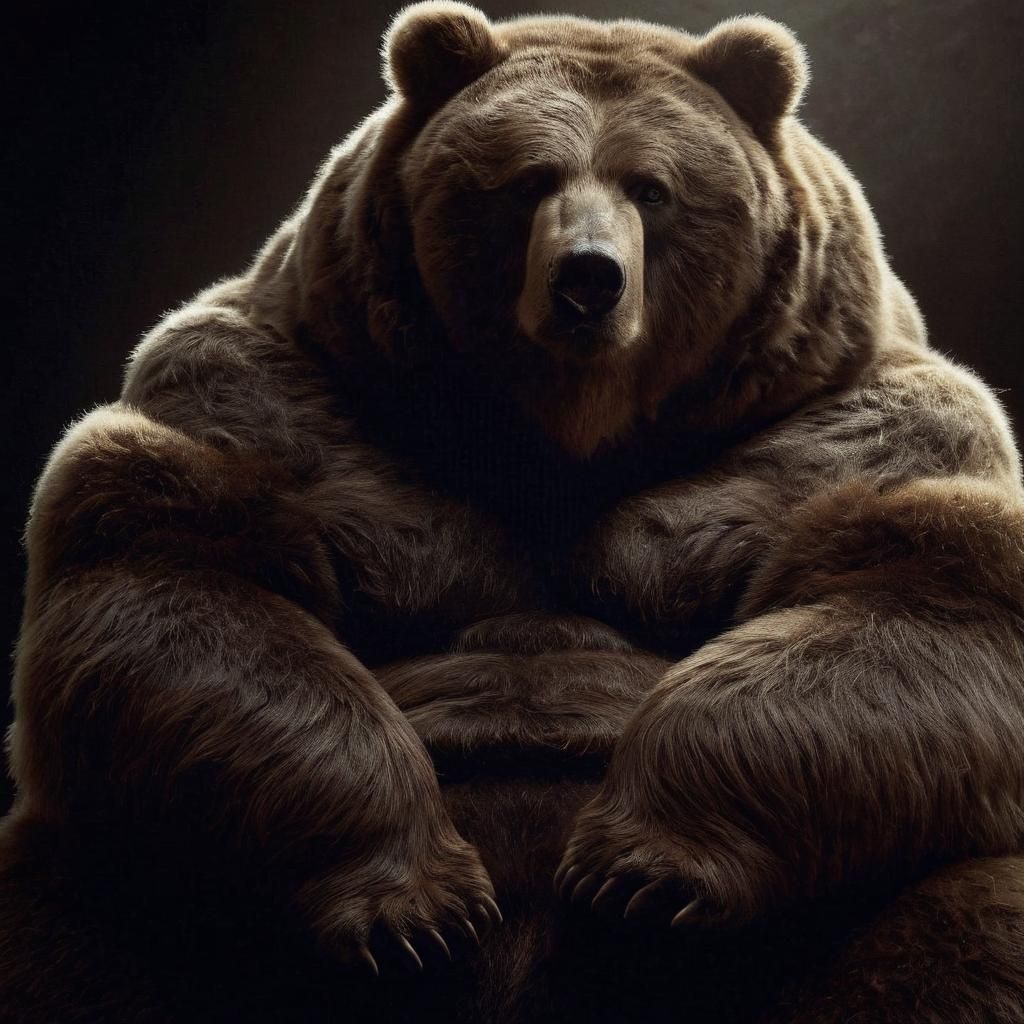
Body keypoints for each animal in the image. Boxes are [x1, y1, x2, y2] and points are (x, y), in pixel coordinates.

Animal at [2, 2, 1024, 1022]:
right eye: (529, 178)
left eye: (653, 188)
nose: (589, 278)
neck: (559, 440)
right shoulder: (278, 406)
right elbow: (192, 593)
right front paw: (419, 906)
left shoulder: (844, 433)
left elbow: (902, 606)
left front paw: (639, 866)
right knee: (68, 932)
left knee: (968, 914)